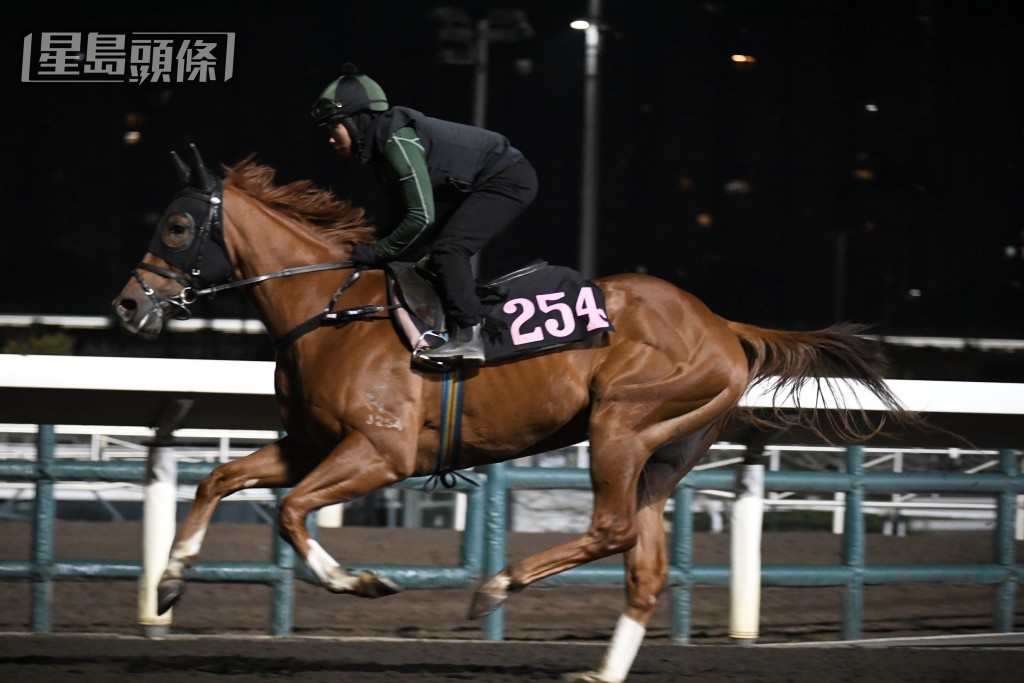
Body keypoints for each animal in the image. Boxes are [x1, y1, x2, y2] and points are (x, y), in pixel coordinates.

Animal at [114, 149, 913, 683]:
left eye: (178, 225)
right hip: (662, 454)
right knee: (645, 566)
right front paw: (169, 585)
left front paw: (358, 582)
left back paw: (496, 587)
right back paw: (603, 670)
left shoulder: (379, 453)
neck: (330, 311)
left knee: (613, 530)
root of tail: (722, 324)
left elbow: (289, 512)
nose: (126, 305)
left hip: (621, 424)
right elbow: (218, 479)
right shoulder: (309, 444)